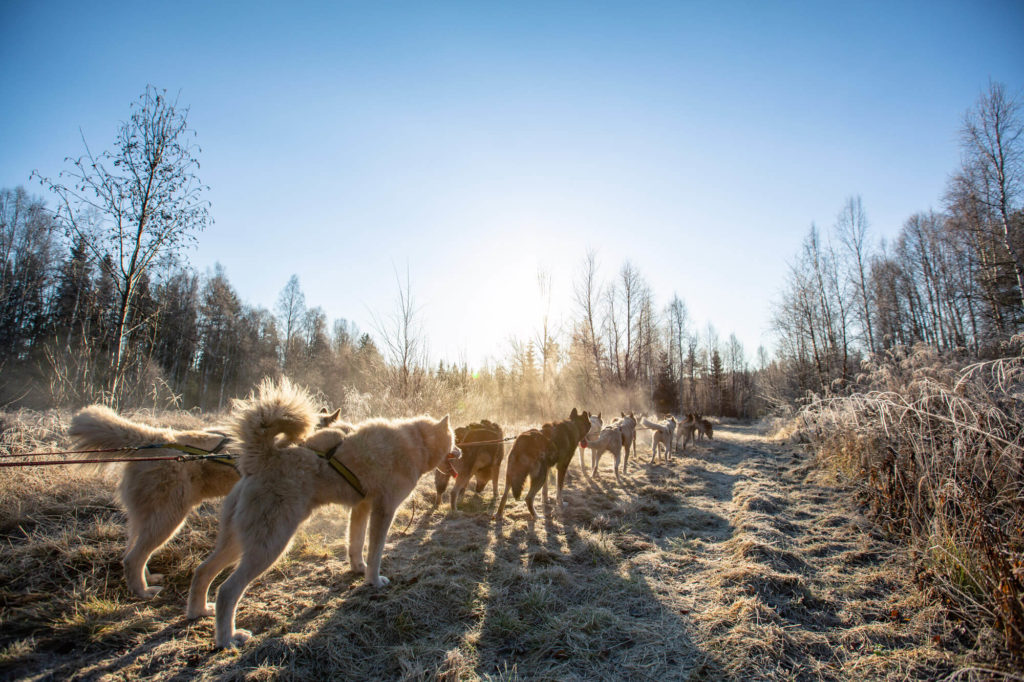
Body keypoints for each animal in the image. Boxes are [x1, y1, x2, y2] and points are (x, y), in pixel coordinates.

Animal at [70, 403, 346, 593]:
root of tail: (154, 437)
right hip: (169, 518)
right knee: (132, 557)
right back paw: (143, 591)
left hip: (148, 517)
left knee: (133, 552)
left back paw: (147, 579)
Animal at [187, 376, 460, 647]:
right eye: (454, 440)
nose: (461, 451)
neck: (417, 441)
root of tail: (264, 458)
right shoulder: (384, 510)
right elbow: (376, 552)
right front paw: (373, 581)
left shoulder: (361, 508)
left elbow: (356, 544)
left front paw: (358, 569)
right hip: (270, 546)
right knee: (227, 591)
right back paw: (228, 639)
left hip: (238, 543)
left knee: (202, 571)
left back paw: (199, 611)